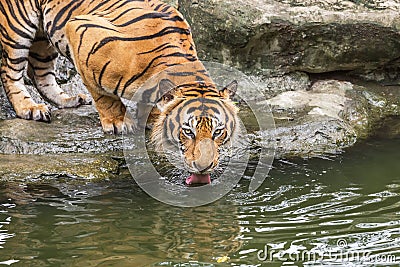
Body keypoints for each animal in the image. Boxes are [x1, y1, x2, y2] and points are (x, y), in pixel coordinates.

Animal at [0, 0, 239, 184]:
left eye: (218, 132)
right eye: (188, 131)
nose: (204, 167)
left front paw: (150, 117)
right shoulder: (79, 30)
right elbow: (104, 96)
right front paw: (119, 122)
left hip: (43, 39)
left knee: (38, 71)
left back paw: (69, 100)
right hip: (18, 28)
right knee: (10, 71)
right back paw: (30, 108)